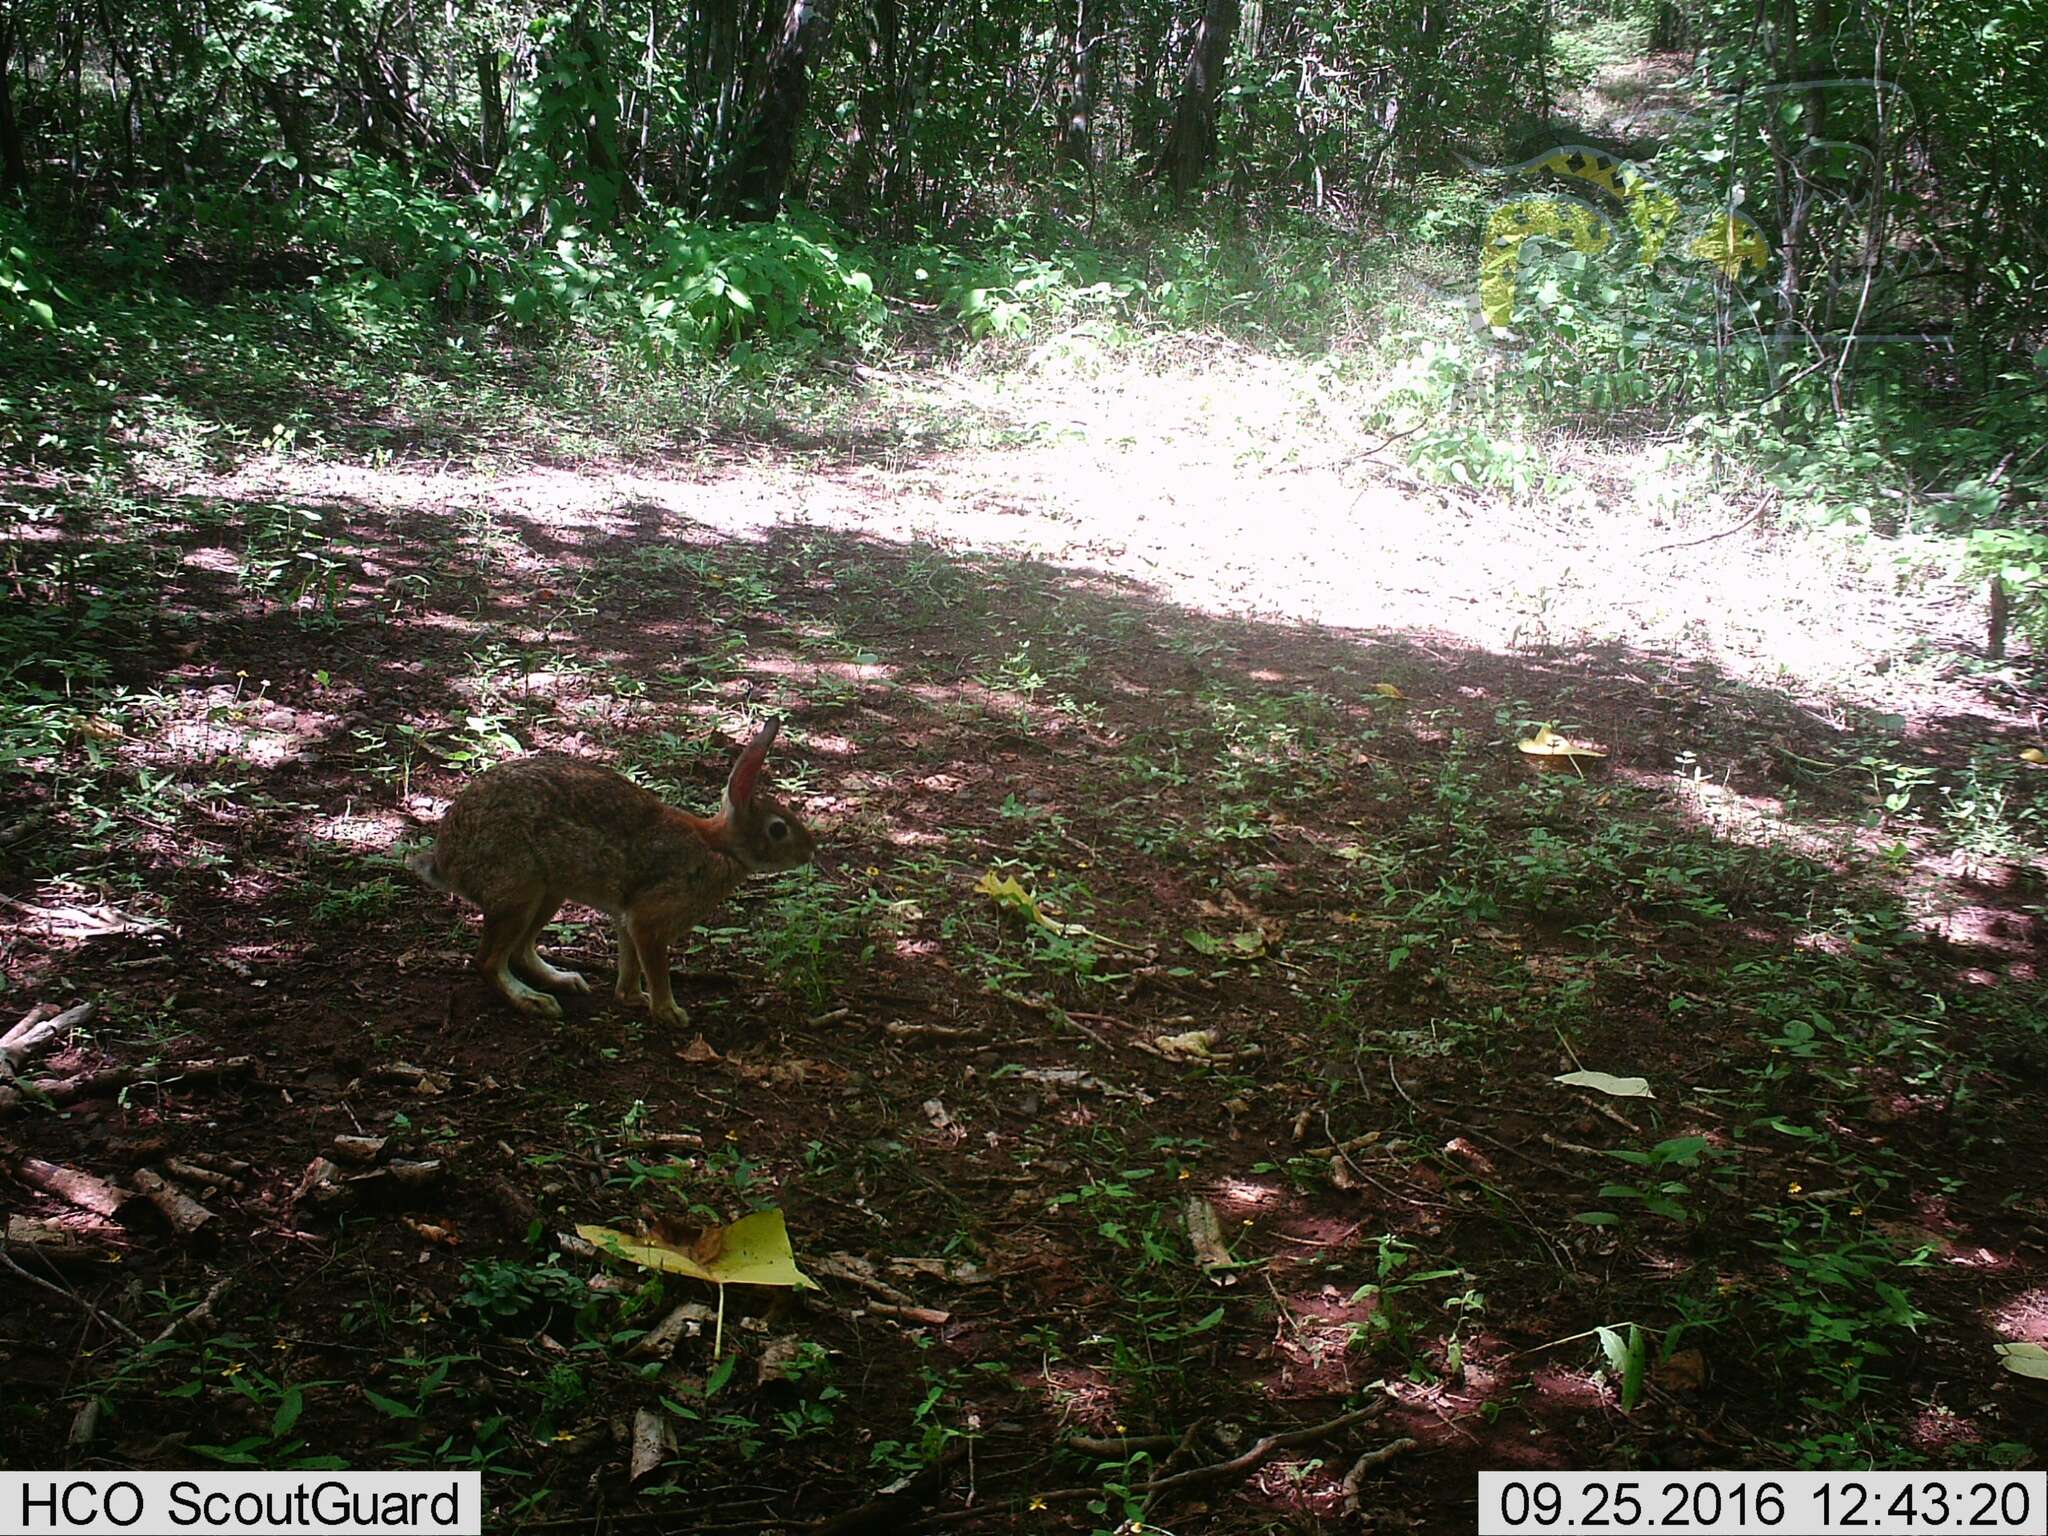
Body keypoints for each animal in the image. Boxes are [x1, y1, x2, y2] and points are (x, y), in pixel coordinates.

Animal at [403, 724, 811, 1036]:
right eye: (779, 829)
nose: (810, 850)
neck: (719, 847)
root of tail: (447, 860)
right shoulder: (650, 920)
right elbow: (656, 967)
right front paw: (670, 1014)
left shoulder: (627, 919)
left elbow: (630, 963)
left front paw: (632, 998)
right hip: (519, 888)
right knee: (488, 961)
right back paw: (534, 1002)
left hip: (549, 893)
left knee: (519, 951)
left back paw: (565, 981)